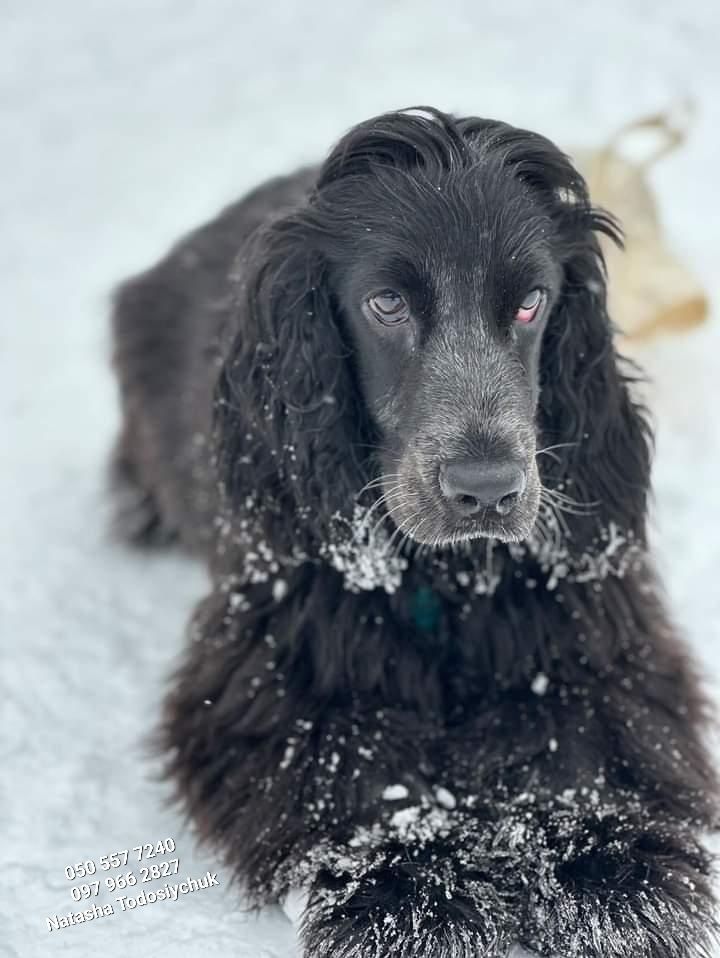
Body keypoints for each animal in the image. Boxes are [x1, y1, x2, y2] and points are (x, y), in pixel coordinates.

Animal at [109, 109, 716, 958]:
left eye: (531, 302)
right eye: (387, 303)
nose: (486, 490)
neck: (445, 580)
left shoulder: (589, 640)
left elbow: (585, 748)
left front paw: (611, 874)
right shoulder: (282, 673)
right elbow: (360, 781)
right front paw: (410, 893)